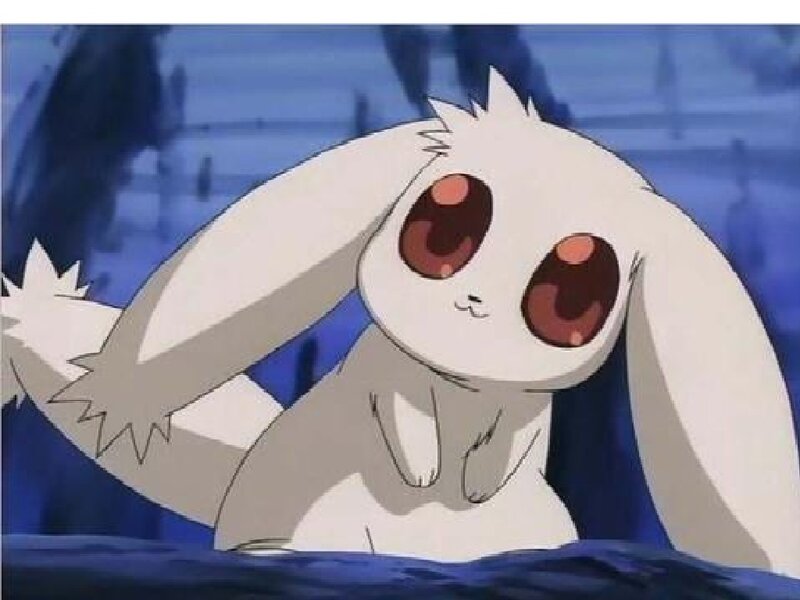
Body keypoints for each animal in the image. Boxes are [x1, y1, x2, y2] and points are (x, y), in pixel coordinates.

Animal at [3, 68, 799, 574]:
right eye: (443, 229)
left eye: (571, 296)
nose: (472, 305)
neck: (466, 384)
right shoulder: (385, 369)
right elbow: (397, 403)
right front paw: (425, 468)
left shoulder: (524, 406)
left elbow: (516, 439)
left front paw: (473, 481)